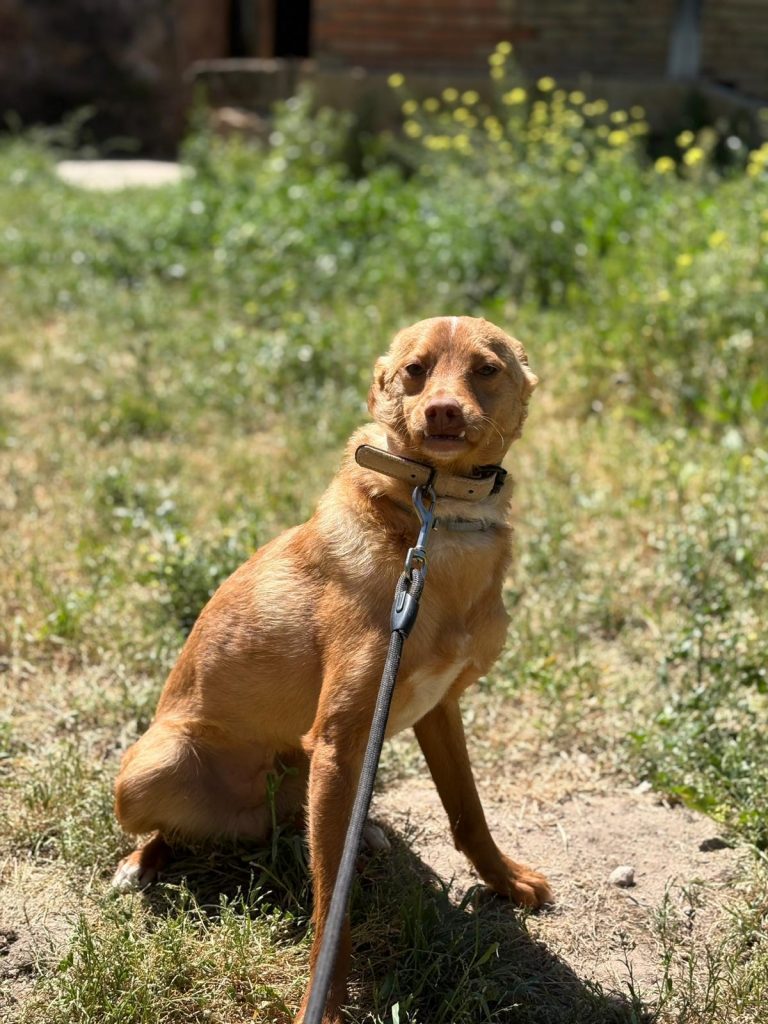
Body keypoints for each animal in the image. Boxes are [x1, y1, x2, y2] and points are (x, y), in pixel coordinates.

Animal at [112, 315, 551, 1023]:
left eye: (486, 369)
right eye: (415, 371)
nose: (443, 410)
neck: (437, 520)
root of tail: (249, 823)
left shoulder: (438, 710)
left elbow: (468, 811)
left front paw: (504, 880)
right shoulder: (343, 743)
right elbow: (333, 913)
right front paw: (326, 999)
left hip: (309, 778)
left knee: (304, 828)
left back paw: (358, 832)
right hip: (157, 765)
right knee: (175, 831)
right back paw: (141, 863)